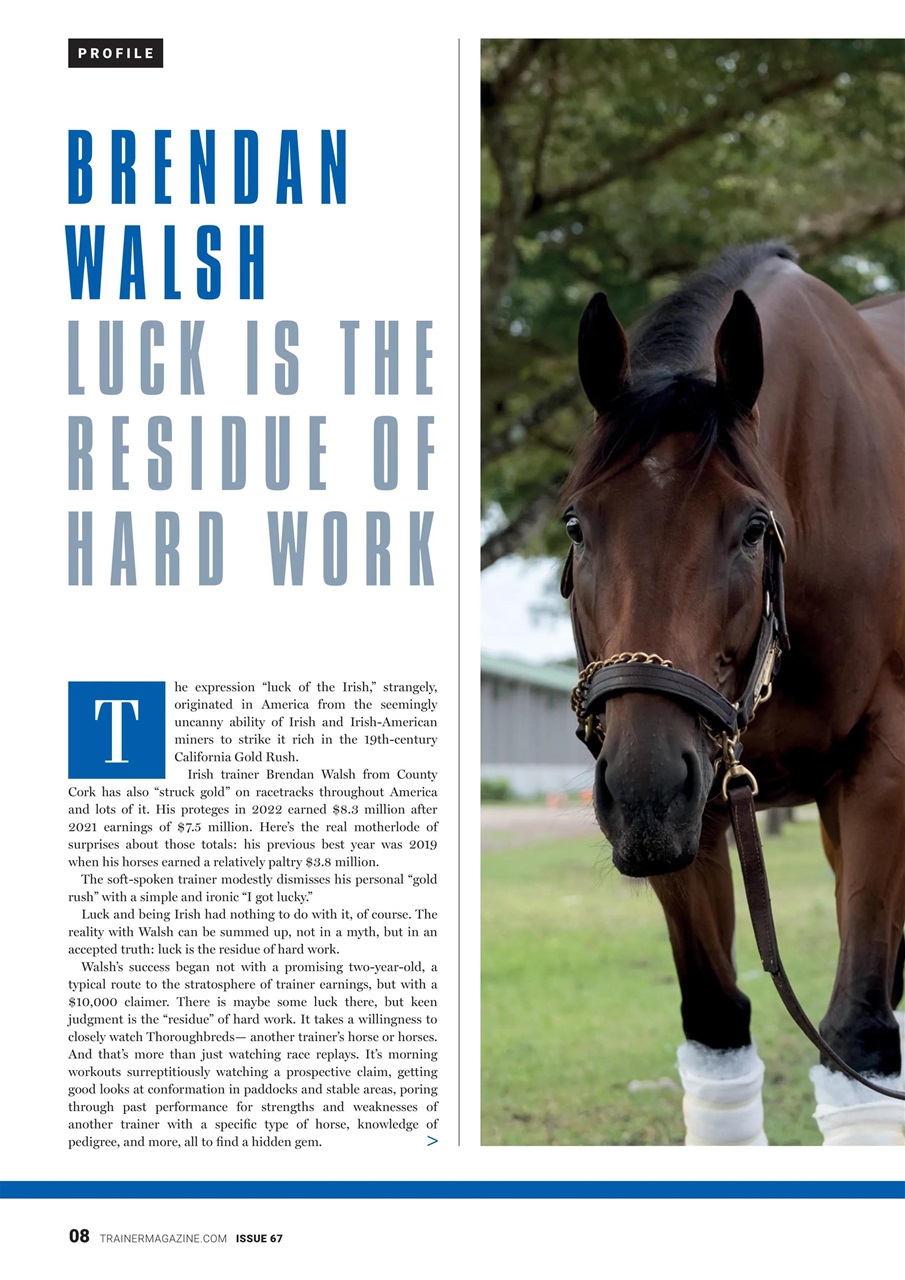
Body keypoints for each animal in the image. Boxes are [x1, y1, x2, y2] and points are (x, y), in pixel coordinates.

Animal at [560, 242, 905, 1145]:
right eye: (576, 524)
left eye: (752, 528)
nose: (642, 789)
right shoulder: (700, 803)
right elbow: (717, 1033)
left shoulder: (882, 772)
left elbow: (857, 1040)